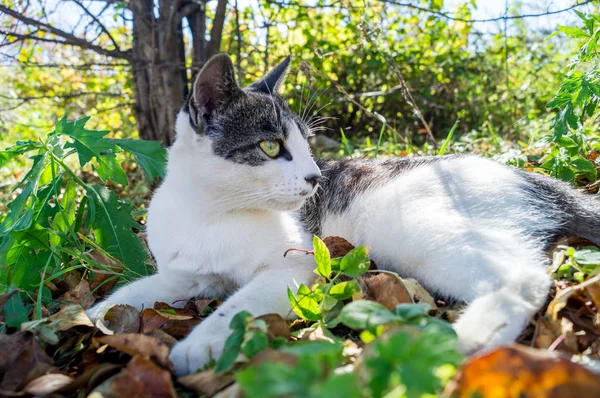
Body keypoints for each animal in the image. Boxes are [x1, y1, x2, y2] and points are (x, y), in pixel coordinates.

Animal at [86, 53, 600, 376]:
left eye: (306, 145)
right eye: (270, 146)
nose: (315, 177)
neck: (212, 214)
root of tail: (532, 179)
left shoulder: (294, 265)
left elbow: (239, 305)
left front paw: (202, 342)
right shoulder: (183, 276)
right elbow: (127, 295)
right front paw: (81, 319)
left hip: (416, 229)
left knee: (525, 276)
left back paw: (468, 338)